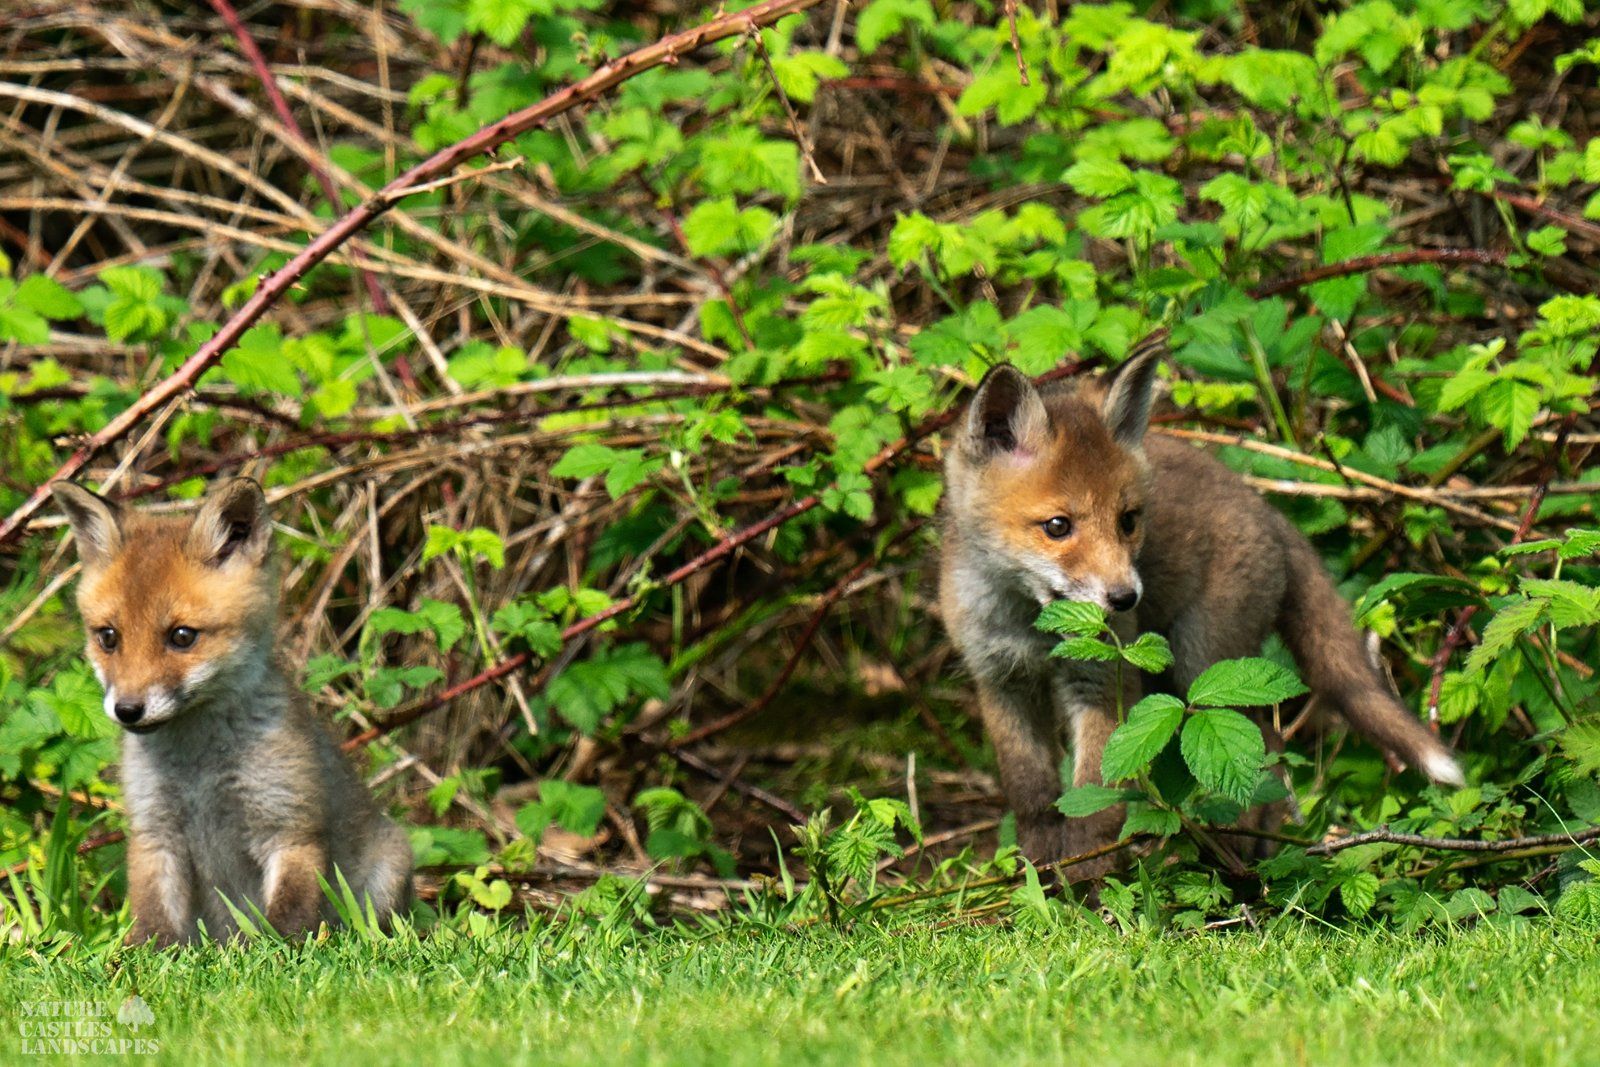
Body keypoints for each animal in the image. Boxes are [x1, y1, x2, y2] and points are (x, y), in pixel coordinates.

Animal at [51, 477, 413, 947]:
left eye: (182, 636)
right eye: (108, 637)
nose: (128, 710)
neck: (198, 768)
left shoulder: (288, 828)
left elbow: (288, 917)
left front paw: (279, 954)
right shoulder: (154, 833)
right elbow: (152, 923)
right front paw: (138, 956)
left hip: (388, 871)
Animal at [939, 330, 1464, 873]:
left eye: (1128, 520)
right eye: (1057, 526)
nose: (1125, 599)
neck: (1030, 626)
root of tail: (1265, 508)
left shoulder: (1104, 678)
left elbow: (1096, 806)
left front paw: (1088, 884)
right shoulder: (1000, 681)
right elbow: (1032, 795)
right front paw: (1036, 872)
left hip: (1203, 661)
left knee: (1264, 746)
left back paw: (1240, 854)